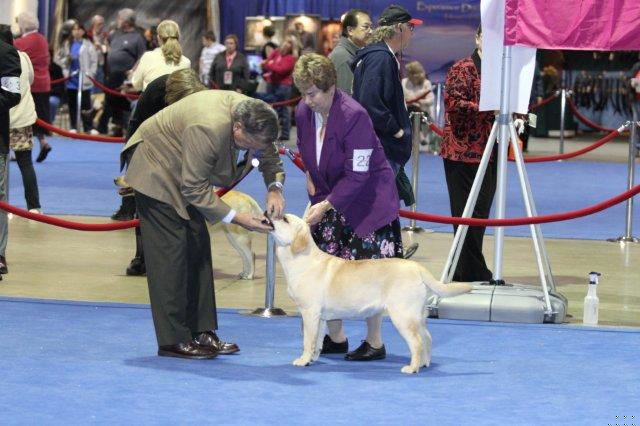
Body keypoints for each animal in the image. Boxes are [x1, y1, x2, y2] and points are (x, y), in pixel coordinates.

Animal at [115, 176, 260, 280]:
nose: (115, 180)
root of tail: (247, 198)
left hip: (239, 237)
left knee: (251, 254)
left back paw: (249, 275)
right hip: (232, 237)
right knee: (244, 255)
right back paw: (243, 273)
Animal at [269, 213, 472, 374]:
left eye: (284, 219)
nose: (269, 212)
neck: (300, 259)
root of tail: (417, 267)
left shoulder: (309, 312)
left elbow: (307, 340)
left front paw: (302, 360)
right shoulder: (320, 317)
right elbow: (316, 341)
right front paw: (311, 359)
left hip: (402, 315)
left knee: (416, 342)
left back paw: (412, 368)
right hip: (417, 315)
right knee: (427, 338)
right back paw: (424, 363)